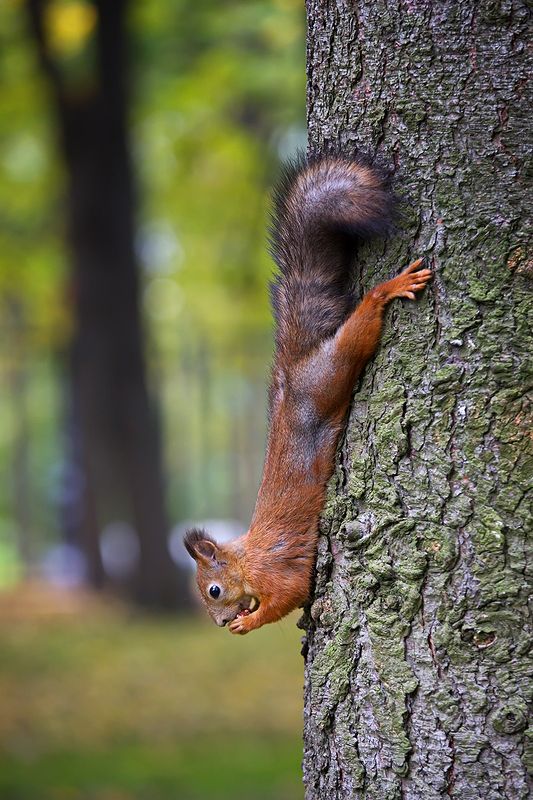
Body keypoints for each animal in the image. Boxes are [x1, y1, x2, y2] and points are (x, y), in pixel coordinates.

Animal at [184, 154, 431, 634]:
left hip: (328, 375)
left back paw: (387, 290)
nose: (220, 624)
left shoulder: (275, 570)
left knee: (356, 333)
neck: (246, 559)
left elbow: (290, 593)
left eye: (214, 590)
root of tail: (291, 369)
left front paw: (250, 622)